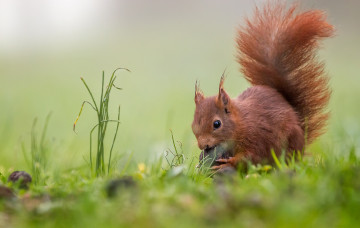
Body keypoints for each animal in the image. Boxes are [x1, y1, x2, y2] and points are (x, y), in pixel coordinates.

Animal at [193, 1, 334, 169]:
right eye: (193, 123)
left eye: (216, 124)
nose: (203, 146)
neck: (241, 123)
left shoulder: (257, 136)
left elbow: (250, 156)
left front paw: (228, 162)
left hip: (289, 143)